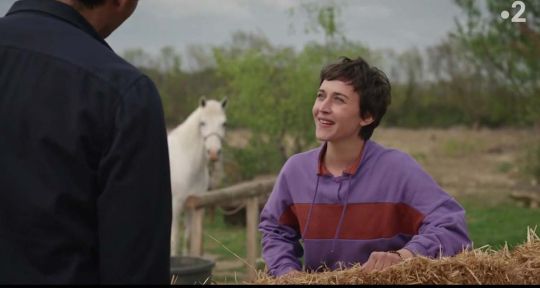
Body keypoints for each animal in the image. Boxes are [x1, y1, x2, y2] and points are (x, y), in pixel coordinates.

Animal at [169, 97, 228, 256]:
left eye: (224, 123)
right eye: (202, 123)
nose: (213, 153)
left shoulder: (192, 205)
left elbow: (189, 240)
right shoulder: (175, 206)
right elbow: (174, 241)